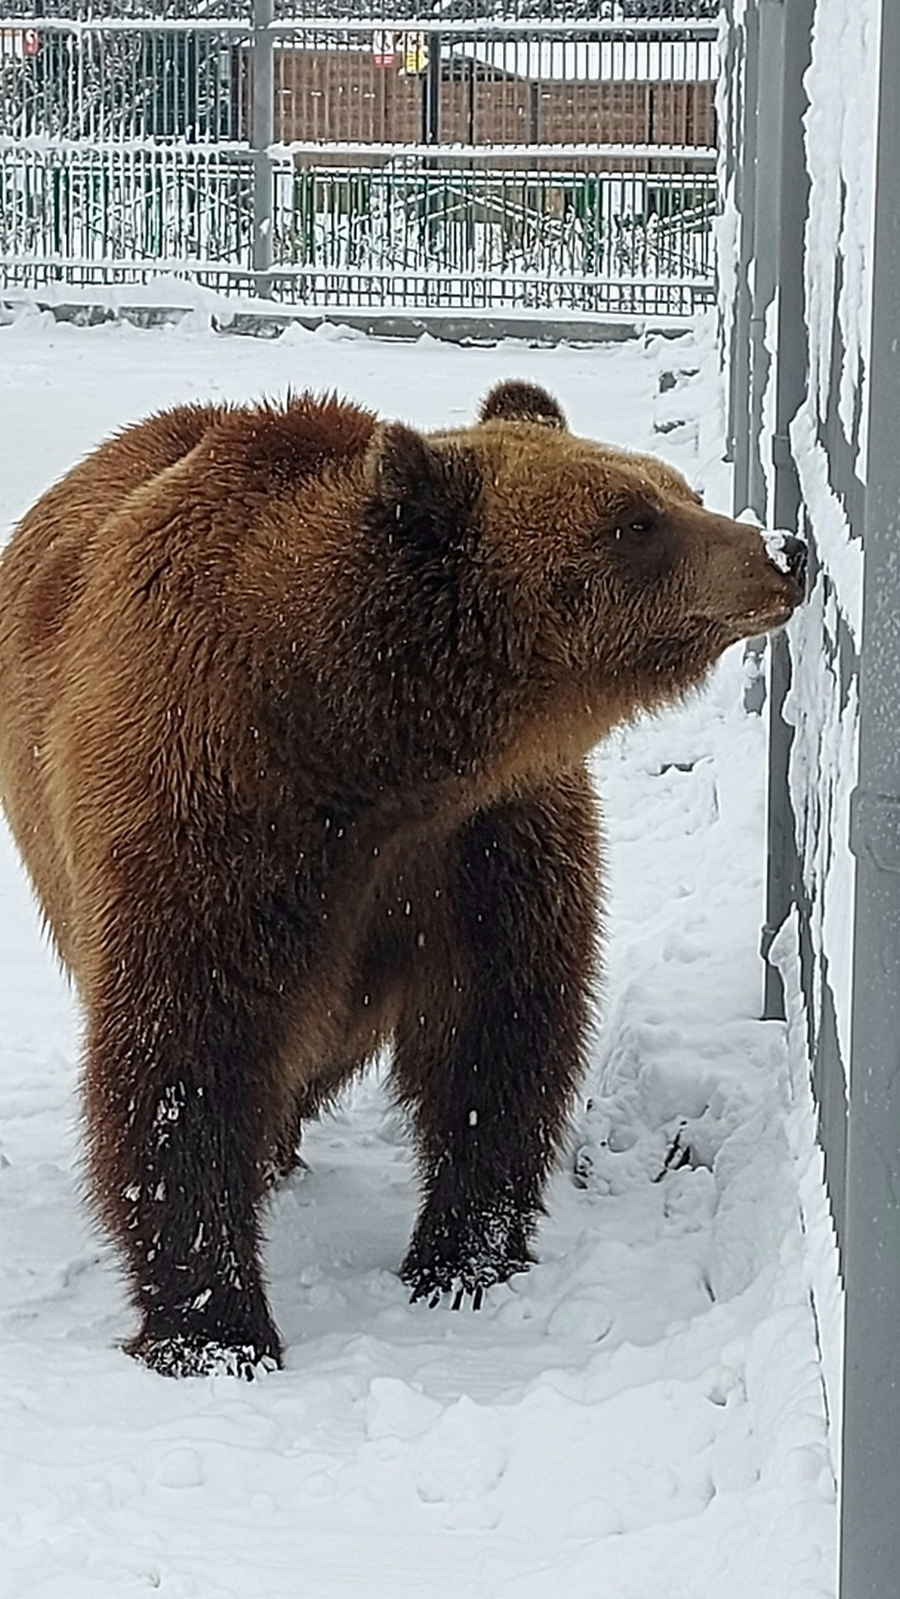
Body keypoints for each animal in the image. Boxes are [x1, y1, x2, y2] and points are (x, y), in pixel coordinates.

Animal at [0, 380, 805, 1381]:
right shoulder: (211, 807)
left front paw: (462, 1256)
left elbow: (496, 1029)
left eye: (680, 489)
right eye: (635, 520)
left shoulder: (481, 841)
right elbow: (186, 1052)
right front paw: (215, 1329)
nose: (787, 551)